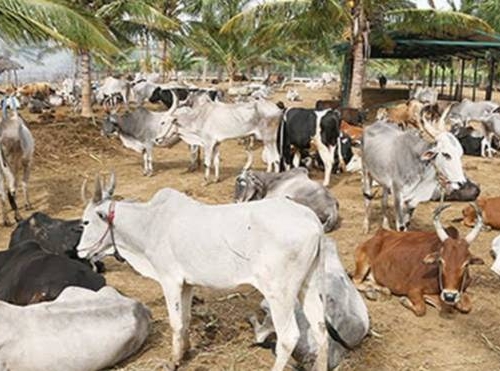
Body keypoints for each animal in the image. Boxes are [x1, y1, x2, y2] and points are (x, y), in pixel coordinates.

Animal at [77, 177, 336, 371]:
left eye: (86, 222)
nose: (79, 251)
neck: (150, 224)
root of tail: (312, 220)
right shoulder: (187, 283)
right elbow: (186, 319)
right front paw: (185, 351)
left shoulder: (170, 280)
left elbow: (175, 322)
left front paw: (174, 361)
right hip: (307, 285)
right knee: (321, 330)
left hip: (279, 292)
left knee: (289, 337)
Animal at [352, 205, 484, 318]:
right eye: (441, 261)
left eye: (466, 264)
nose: (449, 296)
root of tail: (380, 233)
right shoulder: (413, 289)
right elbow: (421, 309)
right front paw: (405, 300)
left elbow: (466, 306)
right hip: (363, 263)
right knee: (356, 281)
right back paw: (371, 292)